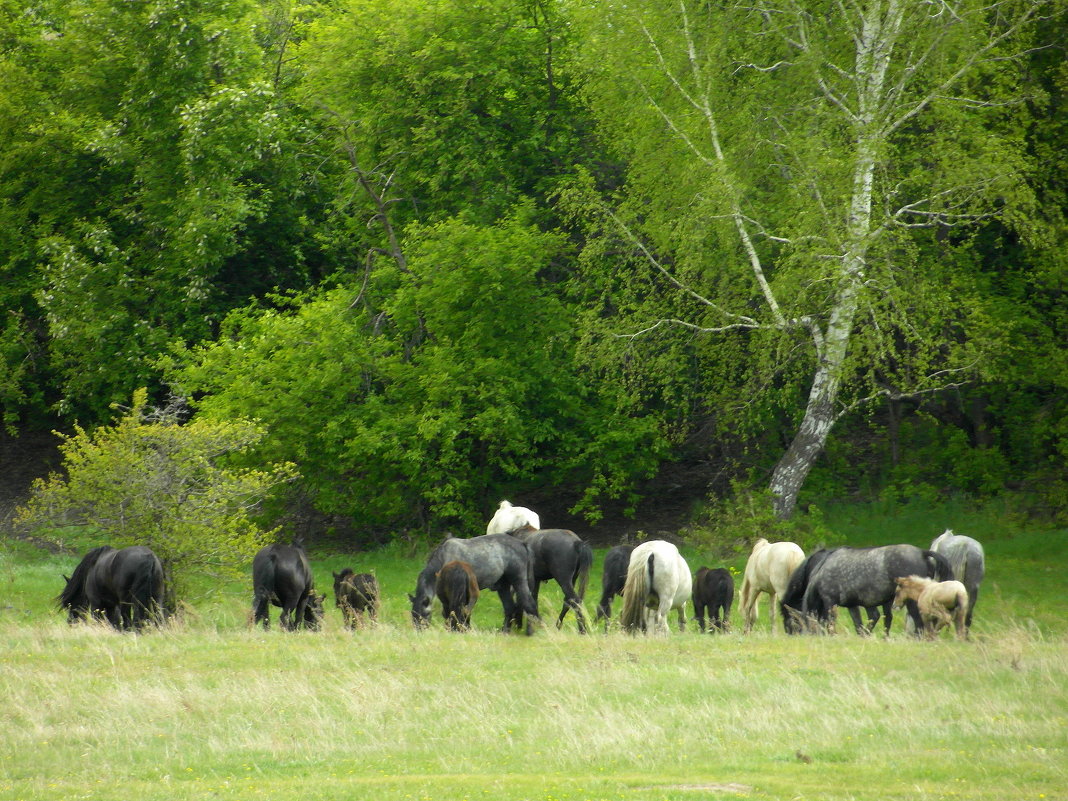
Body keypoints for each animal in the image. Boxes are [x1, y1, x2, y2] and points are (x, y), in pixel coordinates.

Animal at [407, 536, 542, 636]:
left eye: (425, 615)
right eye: (413, 615)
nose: (419, 633)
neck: (444, 559)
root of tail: (522, 544)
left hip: (518, 582)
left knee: (529, 604)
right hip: (503, 586)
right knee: (510, 607)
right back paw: (505, 631)